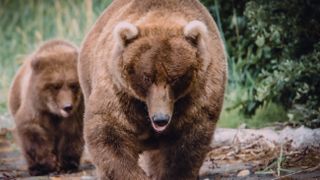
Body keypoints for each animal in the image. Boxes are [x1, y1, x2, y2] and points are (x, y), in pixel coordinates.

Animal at [8, 39, 84, 176]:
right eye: (55, 86)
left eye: (73, 85)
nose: (67, 107)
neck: (54, 112)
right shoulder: (36, 107)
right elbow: (32, 129)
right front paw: (47, 164)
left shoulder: (77, 109)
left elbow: (72, 133)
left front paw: (67, 165)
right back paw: (34, 168)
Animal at [79, 0, 226, 179]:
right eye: (146, 77)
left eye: (175, 78)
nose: (160, 119)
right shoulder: (119, 88)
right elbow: (109, 131)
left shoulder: (199, 90)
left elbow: (187, 143)